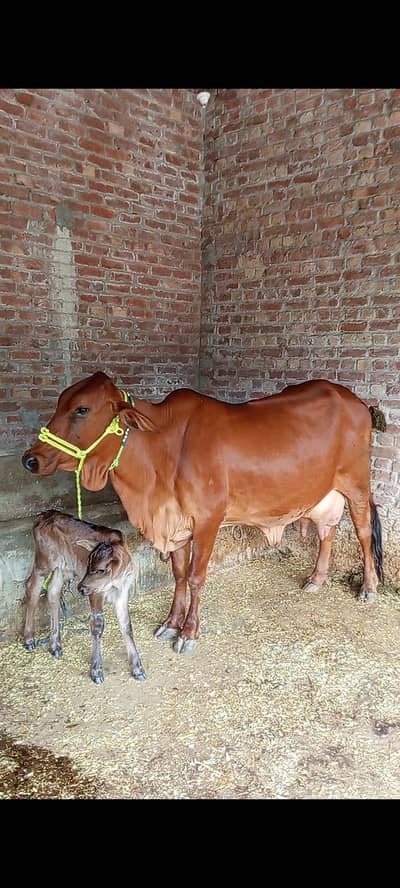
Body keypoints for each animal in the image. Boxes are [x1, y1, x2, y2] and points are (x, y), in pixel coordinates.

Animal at [22, 372, 385, 655]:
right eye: (59, 403)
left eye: (82, 409)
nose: (30, 459)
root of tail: (353, 399)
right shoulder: (177, 523)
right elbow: (179, 575)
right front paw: (170, 623)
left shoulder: (208, 520)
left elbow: (196, 577)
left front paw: (188, 633)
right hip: (327, 492)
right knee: (327, 532)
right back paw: (316, 579)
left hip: (357, 484)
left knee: (363, 532)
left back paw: (369, 587)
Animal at [24, 509, 146, 684]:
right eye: (88, 565)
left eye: (100, 569)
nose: (80, 587)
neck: (115, 581)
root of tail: (44, 514)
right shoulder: (95, 592)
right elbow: (97, 626)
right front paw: (96, 671)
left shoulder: (123, 591)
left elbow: (126, 625)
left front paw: (137, 668)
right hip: (44, 561)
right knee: (32, 587)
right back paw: (29, 639)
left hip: (64, 567)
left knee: (53, 592)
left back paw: (55, 645)